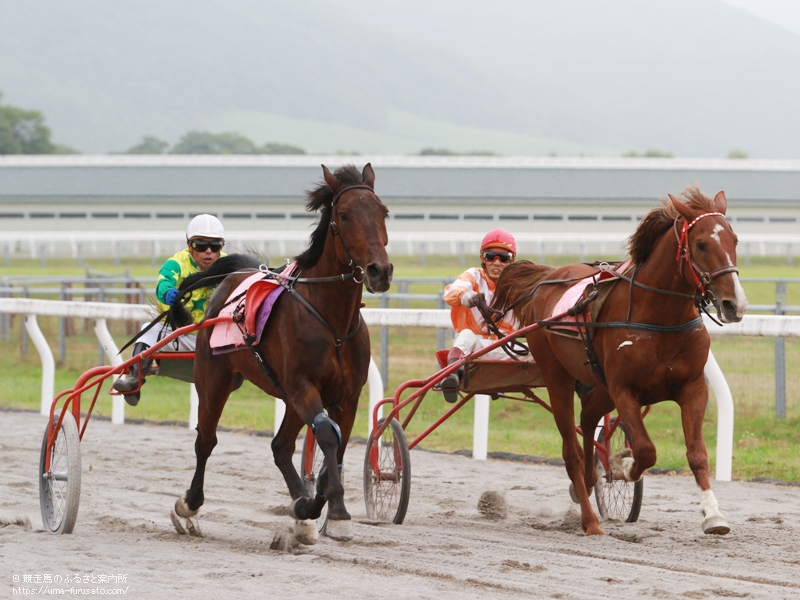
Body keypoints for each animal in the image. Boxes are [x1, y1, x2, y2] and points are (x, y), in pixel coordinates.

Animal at [167, 163, 392, 544]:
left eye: (383, 212)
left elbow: (338, 443)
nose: (380, 271)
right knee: (206, 440)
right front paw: (328, 508)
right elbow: (327, 436)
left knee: (281, 446)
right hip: (214, 378)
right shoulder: (303, 386)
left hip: (286, 397)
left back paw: (301, 507)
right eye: (344, 215)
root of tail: (238, 274)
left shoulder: (347, 395)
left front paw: (321, 509)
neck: (333, 322)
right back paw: (190, 503)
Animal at [494, 188, 752, 536]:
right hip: (557, 376)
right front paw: (625, 465)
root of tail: (548, 277)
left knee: (589, 419)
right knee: (571, 451)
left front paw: (713, 515)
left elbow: (697, 453)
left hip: (599, 385)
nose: (734, 304)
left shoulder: (693, 387)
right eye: (701, 244)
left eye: (734, 240)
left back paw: (591, 480)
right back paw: (590, 521)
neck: (659, 318)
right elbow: (645, 449)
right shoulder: (624, 389)